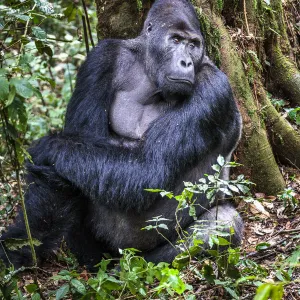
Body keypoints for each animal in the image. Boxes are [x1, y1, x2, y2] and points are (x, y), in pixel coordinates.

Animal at [0, 0, 243, 268]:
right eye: (176, 40)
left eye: (193, 45)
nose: (186, 63)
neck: (149, 71)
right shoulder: (102, 56)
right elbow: (80, 140)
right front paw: (18, 246)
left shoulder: (214, 87)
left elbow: (148, 168)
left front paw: (47, 146)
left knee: (226, 221)